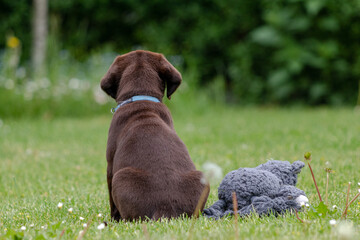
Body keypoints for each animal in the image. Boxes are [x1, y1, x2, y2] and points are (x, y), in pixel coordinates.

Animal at [100, 49, 210, 220]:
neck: (142, 95)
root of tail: (165, 209)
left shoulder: (110, 166)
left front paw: (113, 219)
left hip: (121, 176)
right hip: (201, 177)